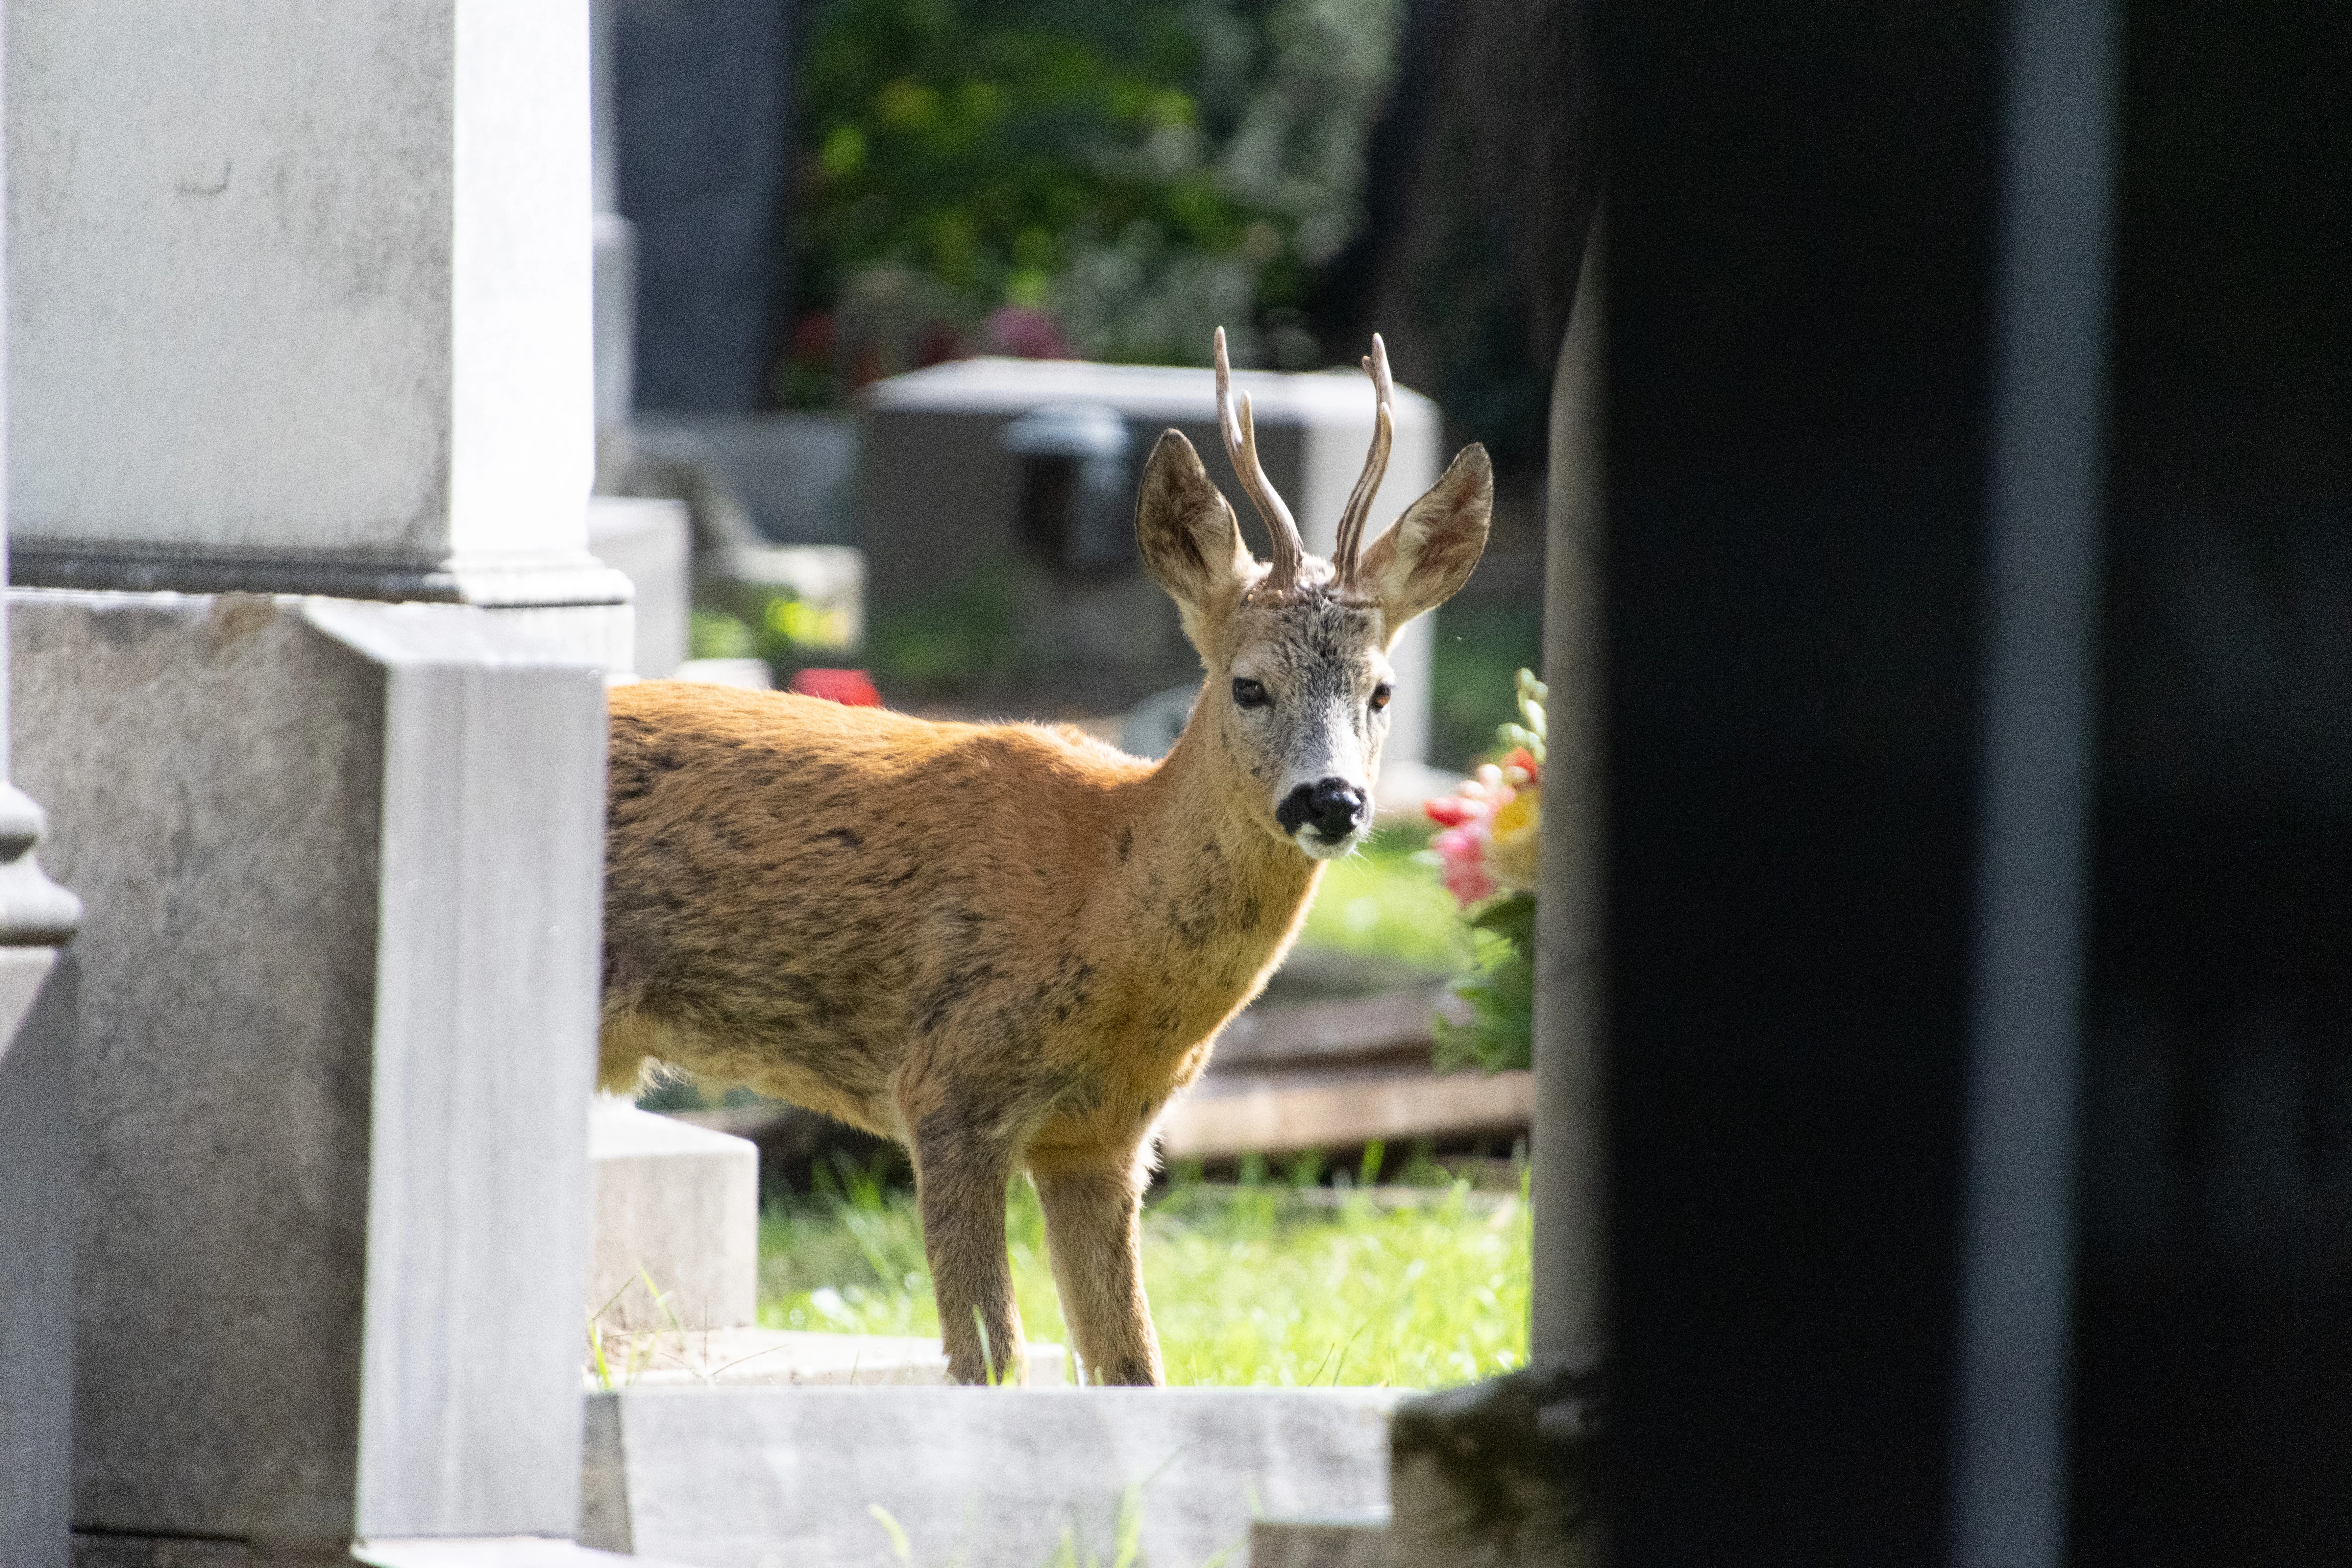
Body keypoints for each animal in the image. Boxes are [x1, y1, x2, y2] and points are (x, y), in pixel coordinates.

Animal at [599, 328, 1491, 1385]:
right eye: (1248, 686)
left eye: (1382, 691)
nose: (1333, 800)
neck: (1101, 890)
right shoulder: (947, 1084)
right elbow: (992, 1359)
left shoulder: (1104, 1138)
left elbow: (1134, 1365)